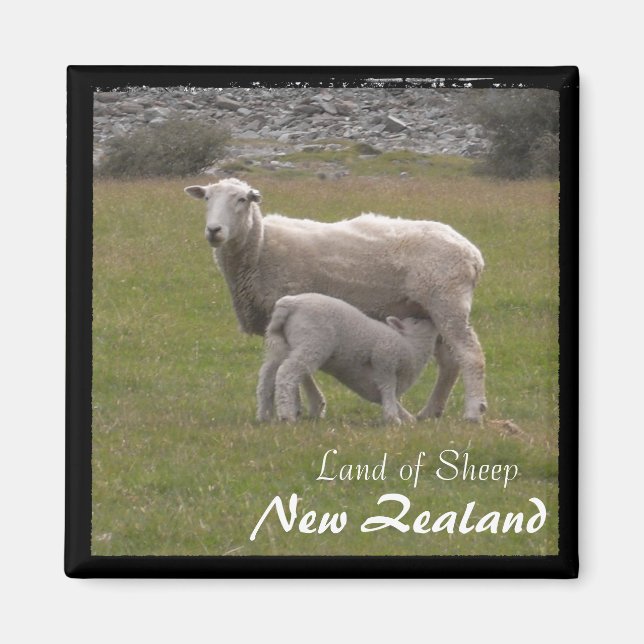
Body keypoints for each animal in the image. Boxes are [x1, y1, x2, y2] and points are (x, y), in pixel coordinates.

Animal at [257, 293, 439, 424]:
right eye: (416, 321)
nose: (431, 319)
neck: (411, 346)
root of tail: (289, 304)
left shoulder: (369, 385)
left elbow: (386, 395)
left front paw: (406, 417)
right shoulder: (384, 358)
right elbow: (387, 388)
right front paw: (393, 418)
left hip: (281, 345)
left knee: (267, 377)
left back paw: (264, 415)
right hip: (312, 342)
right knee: (287, 373)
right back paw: (287, 416)